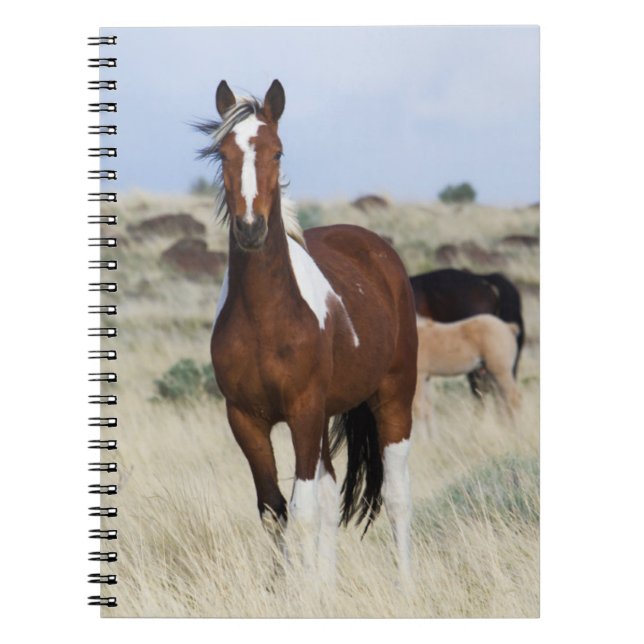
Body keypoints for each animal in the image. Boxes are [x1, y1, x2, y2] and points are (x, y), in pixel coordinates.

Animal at [198, 80, 418, 586]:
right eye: (223, 153)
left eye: (277, 152)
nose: (251, 229)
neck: (267, 317)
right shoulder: (246, 419)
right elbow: (273, 510)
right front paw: (288, 588)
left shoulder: (302, 411)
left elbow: (300, 511)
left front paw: (301, 592)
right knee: (331, 497)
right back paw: (328, 585)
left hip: (393, 398)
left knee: (396, 496)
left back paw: (405, 587)